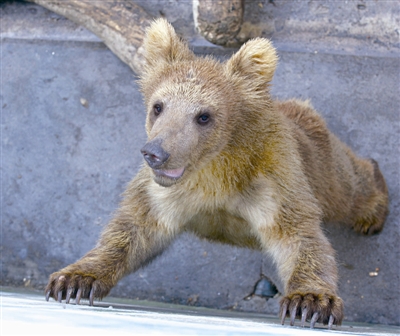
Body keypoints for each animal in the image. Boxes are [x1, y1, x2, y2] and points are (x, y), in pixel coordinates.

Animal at [45, 18, 390, 328]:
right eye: (158, 106)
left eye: (203, 116)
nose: (155, 153)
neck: (214, 170)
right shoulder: (164, 193)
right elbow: (132, 230)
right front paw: (73, 280)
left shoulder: (272, 177)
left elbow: (298, 235)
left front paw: (309, 302)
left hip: (319, 163)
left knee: (347, 188)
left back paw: (372, 211)